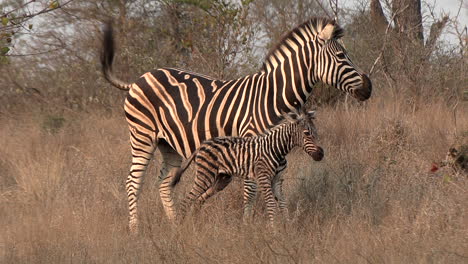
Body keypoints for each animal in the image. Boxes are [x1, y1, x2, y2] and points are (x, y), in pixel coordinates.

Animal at [170, 110, 324, 224]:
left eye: (316, 132)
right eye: (307, 133)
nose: (321, 154)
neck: (277, 150)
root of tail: (202, 144)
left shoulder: (277, 179)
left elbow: (282, 203)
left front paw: (286, 227)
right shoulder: (263, 177)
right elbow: (271, 204)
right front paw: (274, 230)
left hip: (222, 179)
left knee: (198, 200)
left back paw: (195, 223)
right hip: (205, 175)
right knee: (187, 199)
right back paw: (180, 226)